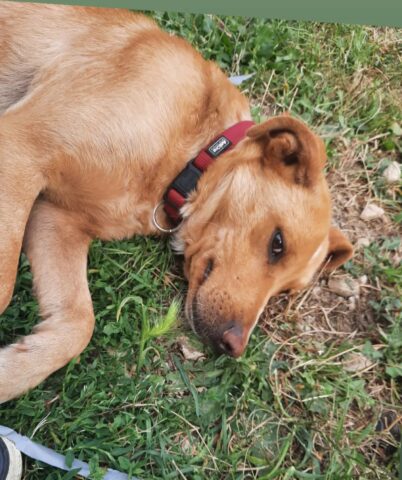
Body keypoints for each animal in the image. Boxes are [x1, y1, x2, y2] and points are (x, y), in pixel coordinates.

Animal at [0, 1, 352, 404]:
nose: (234, 346)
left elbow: (78, 323)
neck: (189, 153)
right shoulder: (21, 146)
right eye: (278, 243)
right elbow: (5, 286)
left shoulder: (57, 218)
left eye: (286, 292)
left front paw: (13, 371)